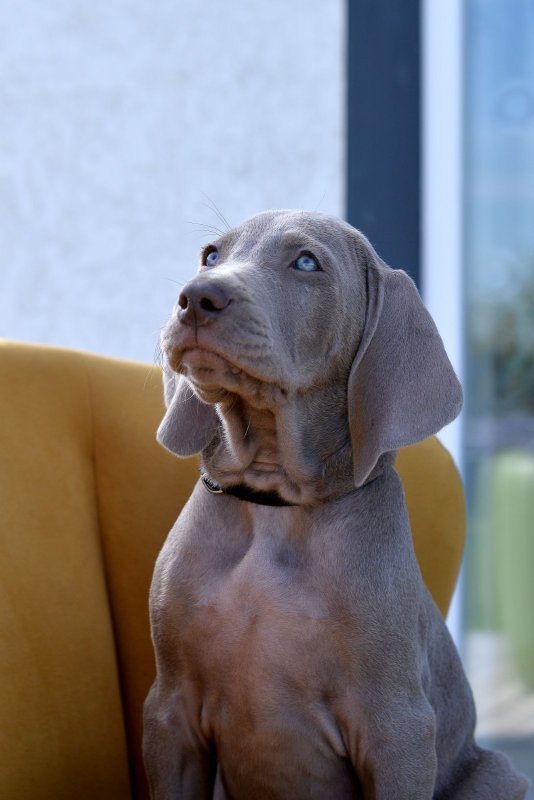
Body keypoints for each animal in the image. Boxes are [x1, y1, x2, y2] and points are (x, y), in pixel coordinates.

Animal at [143, 211, 529, 799]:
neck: (274, 506)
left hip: (497, 773)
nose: (196, 298)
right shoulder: (171, 711)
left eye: (306, 262)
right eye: (210, 255)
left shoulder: (397, 730)